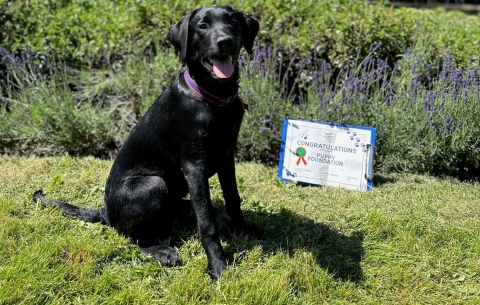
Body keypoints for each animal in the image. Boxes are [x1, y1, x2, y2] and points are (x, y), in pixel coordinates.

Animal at [33, 5, 258, 280]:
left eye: (233, 22)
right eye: (202, 26)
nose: (225, 42)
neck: (214, 99)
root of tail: (104, 212)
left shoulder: (227, 156)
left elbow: (233, 199)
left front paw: (244, 230)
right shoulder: (194, 165)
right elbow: (207, 222)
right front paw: (218, 266)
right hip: (153, 185)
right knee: (132, 237)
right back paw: (162, 251)